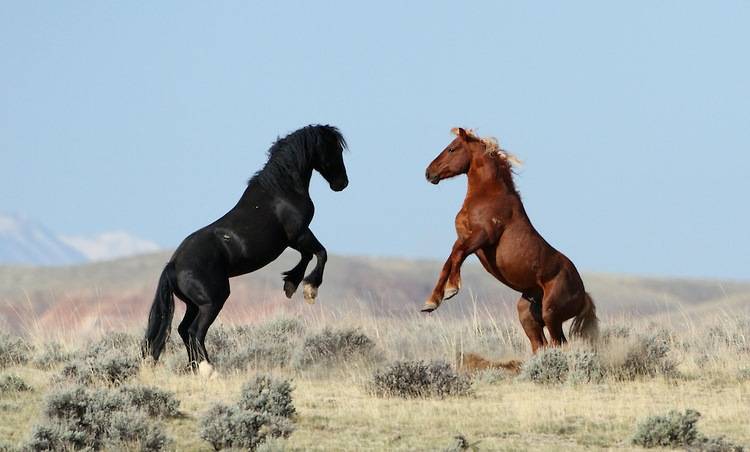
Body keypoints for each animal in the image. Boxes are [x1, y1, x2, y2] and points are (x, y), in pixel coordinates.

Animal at [142, 124, 349, 375]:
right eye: (335, 149)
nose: (342, 183)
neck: (281, 192)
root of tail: (173, 266)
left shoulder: (293, 240)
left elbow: (308, 256)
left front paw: (291, 284)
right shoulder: (299, 234)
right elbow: (321, 253)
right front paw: (309, 290)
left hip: (194, 304)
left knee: (183, 330)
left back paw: (194, 369)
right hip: (213, 301)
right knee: (194, 332)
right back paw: (209, 370)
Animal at [422, 127, 598, 352]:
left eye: (452, 148)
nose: (429, 173)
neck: (488, 195)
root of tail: (583, 294)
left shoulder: (482, 237)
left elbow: (458, 256)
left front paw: (452, 289)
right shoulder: (462, 238)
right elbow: (449, 260)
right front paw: (431, 302)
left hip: (552, 314)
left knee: (559, 343)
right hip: (528, 315)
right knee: (540, 345)